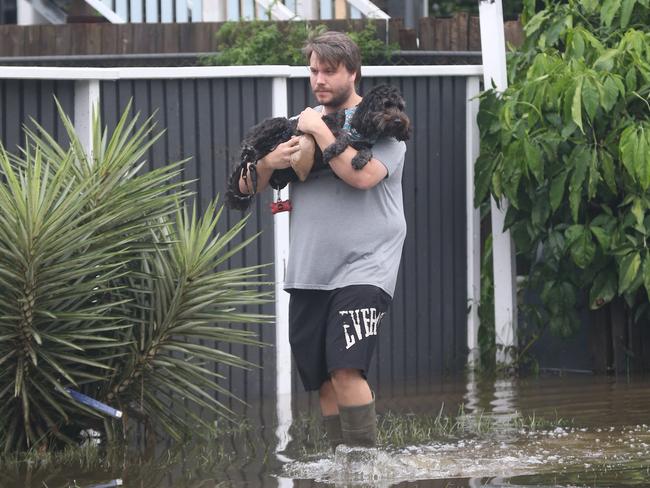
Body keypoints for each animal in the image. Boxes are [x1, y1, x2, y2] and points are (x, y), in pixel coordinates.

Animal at [227, 84, 410, 210]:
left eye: (401, 107)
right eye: (386, 105)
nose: (399, 122)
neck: (359, 126)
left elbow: (366, 149)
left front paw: (361, 157)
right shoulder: (327, 124)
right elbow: (343, 135)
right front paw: (332, 148)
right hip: (277, 123)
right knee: (248, 149)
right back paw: (251, 151)